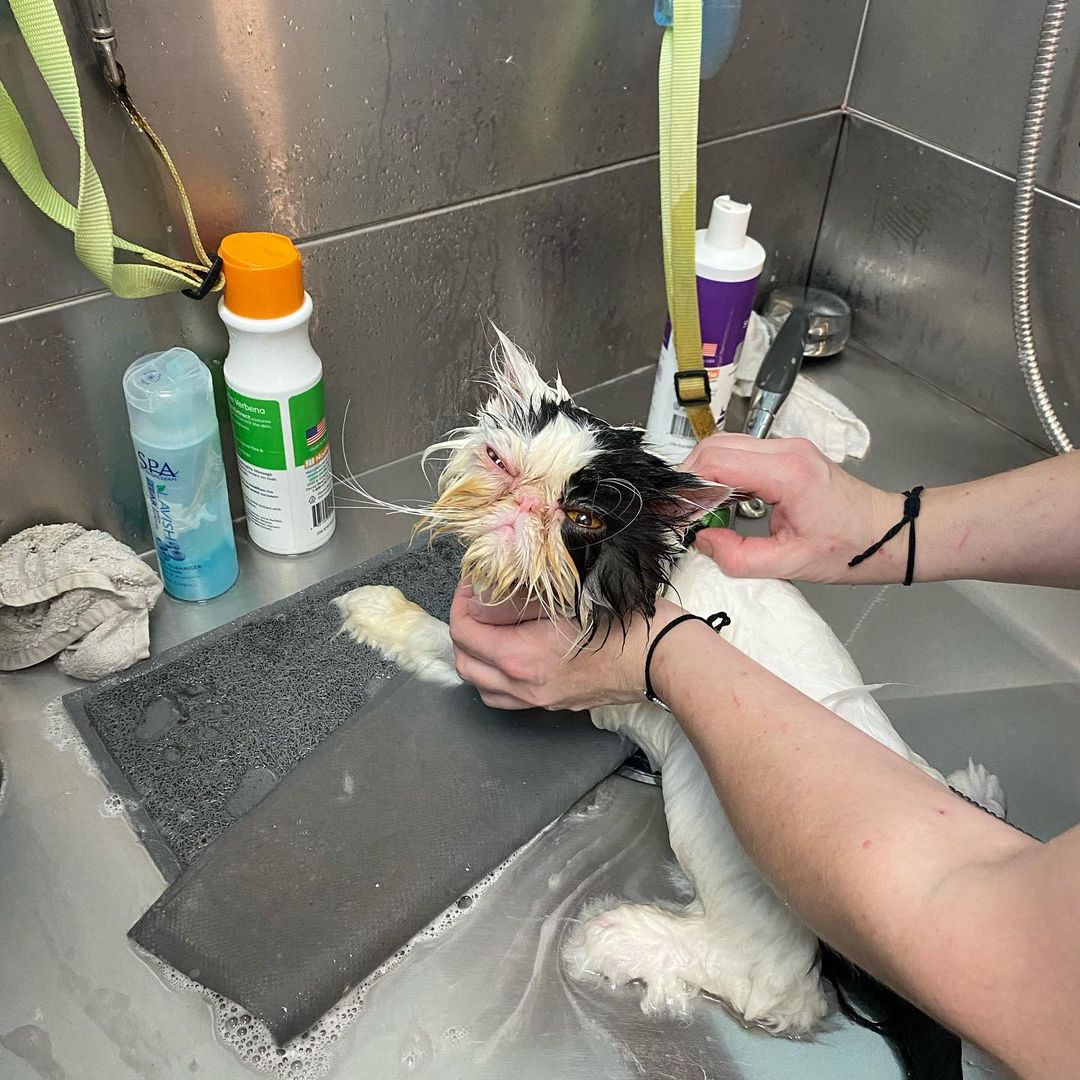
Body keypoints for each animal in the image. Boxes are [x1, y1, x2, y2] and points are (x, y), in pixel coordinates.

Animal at [334, 334, 1002, 1045]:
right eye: (498, 462)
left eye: (582, 518)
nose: (522, 506)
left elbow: (433, 638)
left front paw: (374, 610)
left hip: (706, 797)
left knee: (769, 982)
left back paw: (617, 941)